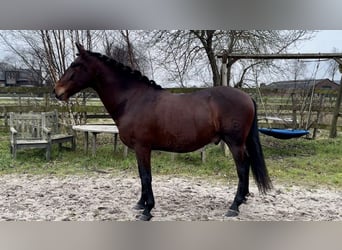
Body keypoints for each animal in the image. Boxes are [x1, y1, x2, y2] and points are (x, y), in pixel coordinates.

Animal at [54, 43, 272, 221]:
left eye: (75, 65)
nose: (57, 91)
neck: (133, 99)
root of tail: (247, 97)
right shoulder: (139, 149)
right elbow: (141, 175)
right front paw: (140, 204)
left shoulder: (142, 147)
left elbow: (146, 176)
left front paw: (147, 210)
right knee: (247, 165)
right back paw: (242, 199)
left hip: (235, 143)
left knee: (242, 168)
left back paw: (234, 206)